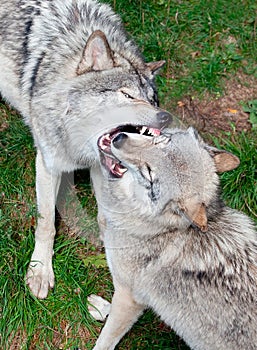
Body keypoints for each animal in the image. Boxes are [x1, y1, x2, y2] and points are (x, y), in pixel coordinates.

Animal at [0, 1, 170, 300]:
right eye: (127, 95)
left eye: (152, 100)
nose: (165, 117)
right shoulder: (48, 164)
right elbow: (46, 223)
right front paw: (40, 270)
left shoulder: (102, 170)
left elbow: (105, 216)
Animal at [88, 127, 256, 350]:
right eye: (161, 142)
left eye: (149, 174)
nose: (119, 138)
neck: (162, 229)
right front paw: (100, 308)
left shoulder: (128, 296)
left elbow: (106, 337)